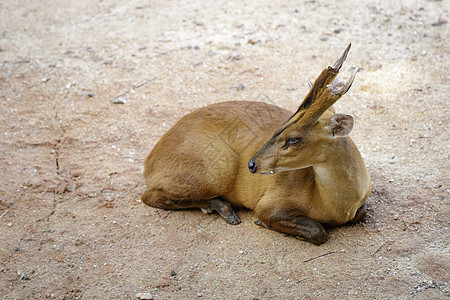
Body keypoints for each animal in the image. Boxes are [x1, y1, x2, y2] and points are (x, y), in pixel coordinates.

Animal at [142, 45, 370, 246]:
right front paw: (262, 222)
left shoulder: (358, 207)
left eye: (293, 139)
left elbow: (361, 213)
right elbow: (318, 231)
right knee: (150, 196)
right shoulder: (269, 203)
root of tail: (148, 163)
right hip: (214, 172)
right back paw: (221, 207)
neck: (334, 204)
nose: (251, 164)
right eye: (279, 127)